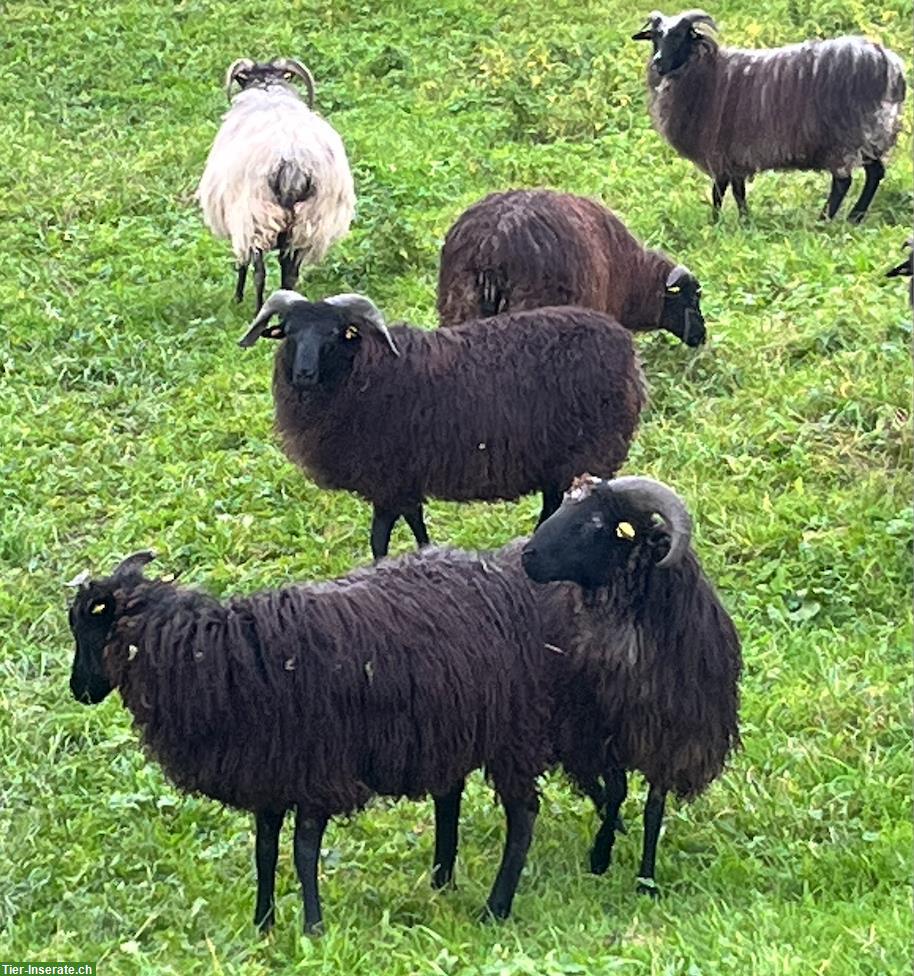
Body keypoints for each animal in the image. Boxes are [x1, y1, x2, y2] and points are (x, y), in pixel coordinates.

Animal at [67, 544, 548, 936]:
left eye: (85, 629)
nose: (78, 690)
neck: (213, 655)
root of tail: (499, 573)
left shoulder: (317, 772)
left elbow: (302, 853)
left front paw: (312, 928)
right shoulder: (267, 776)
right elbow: (264, 851)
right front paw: (263, 924)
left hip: (512, 732)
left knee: (522, 815)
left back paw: (495, 908)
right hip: (449, 731)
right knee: (450, 798)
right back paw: (441, 882)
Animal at [194, 59, 354, 308]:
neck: (267, 87)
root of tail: (293, 163)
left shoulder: (239, 220)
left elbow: (242, 261)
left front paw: (237, 297)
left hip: (257, 216)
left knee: (259, 272)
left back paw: (258, 308)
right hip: (309, 223)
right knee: (290, 274)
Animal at [512, 476, 740, 896]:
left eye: (595, 522)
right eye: (563, 507)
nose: (528, 556)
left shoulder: (670, 740)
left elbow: (654, 809)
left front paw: (646, 879)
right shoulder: (604, 730)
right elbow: (617, 790)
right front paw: (601, 855)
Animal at [636, 9, 904, 223]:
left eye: (681, 35)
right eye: (656, 37)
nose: (658, 63)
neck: (708, 72)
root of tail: (890, 64)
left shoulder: (721, 150)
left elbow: (721, 191)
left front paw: (721, 223)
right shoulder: (733, 154)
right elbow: (734, 190)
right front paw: (738, 221)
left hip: (847, 136)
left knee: (843, 181)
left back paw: (823, 221)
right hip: (870, 135)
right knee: (875, 173)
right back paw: (854, 217)